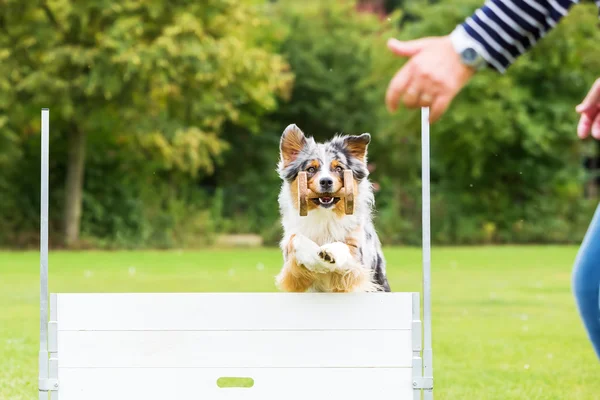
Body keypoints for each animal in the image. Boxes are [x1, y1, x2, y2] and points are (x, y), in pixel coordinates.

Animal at [276, 123, 392, 292]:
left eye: (338, 169)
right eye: (311, 169)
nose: (326, 181)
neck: (325, 214)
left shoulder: (357, 259)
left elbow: (343, 246)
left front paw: (329, 253)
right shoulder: (291, 268)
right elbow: (296, 239)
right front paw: (314, 257)